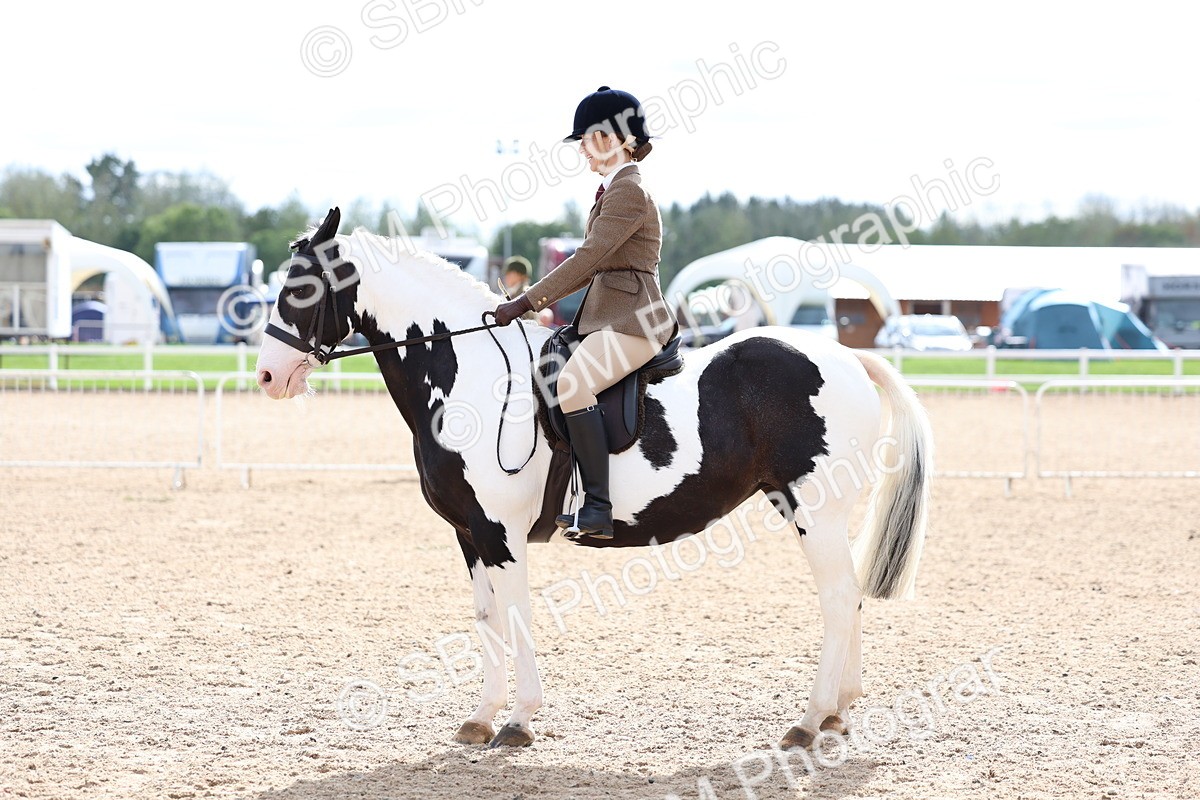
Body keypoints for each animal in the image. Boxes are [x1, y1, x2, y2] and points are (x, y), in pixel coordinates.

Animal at [254, 208, 933, 751]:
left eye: (302, 287)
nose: (267, 376)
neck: (470, 379)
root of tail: (849, 357)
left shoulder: (500, 534)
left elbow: (518, 616)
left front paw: (518, 722)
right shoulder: (469, 534)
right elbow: (487, 618)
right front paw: (481, 717)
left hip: (814, 511)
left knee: (839, 599)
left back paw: (809, 720)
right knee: (848, 598)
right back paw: (838, 714)